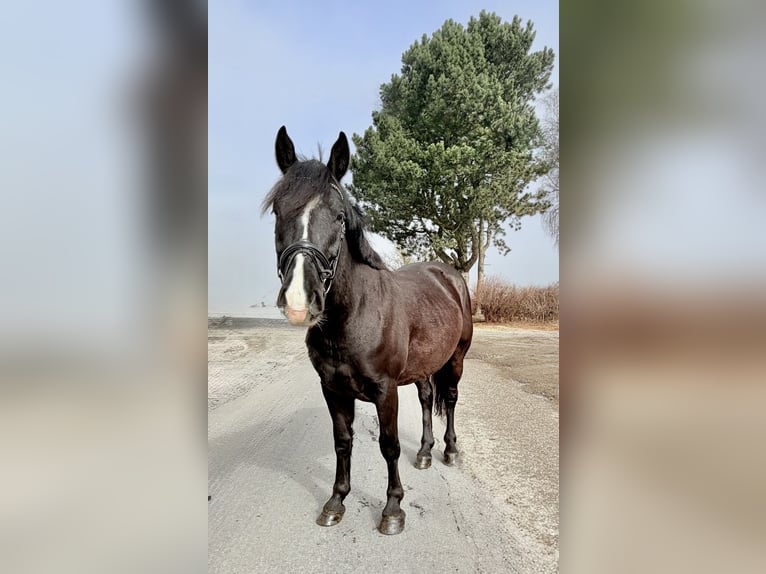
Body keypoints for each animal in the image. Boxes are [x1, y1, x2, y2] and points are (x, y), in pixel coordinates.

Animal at [262, 126, 473, 535]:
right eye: (278, 212)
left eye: (339, 216)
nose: (299, 300)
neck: (353, 317)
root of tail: (448, 275)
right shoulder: (332, 389)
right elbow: (343, 442)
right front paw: (336, 501)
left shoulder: (385, 390)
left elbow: (389, 445)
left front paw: (392, 510)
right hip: (422, 367)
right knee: (427, 399)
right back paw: (425, 452)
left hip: (455, 358)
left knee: (451, 399)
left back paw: (450, 450)